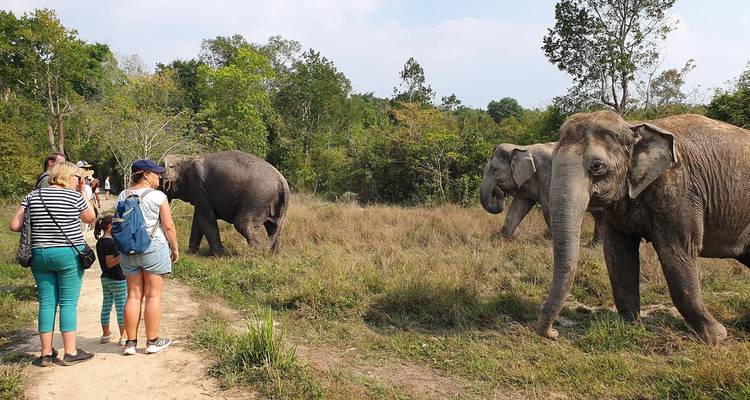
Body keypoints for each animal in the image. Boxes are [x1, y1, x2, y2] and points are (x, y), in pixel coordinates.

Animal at [537, 110, 750, 345]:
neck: (632, 127)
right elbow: (618, 254)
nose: (554, 333)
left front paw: (716, 338)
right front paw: (631, 328)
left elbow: (677, 253)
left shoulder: (677, 190)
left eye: (597, 166)